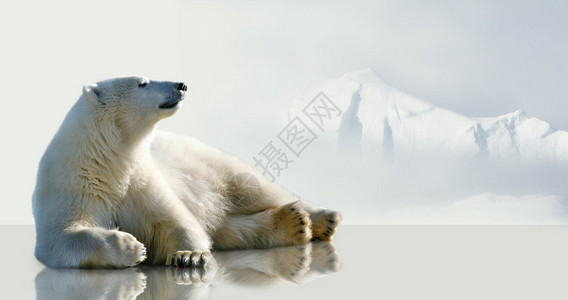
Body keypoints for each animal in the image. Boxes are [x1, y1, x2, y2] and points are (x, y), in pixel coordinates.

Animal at [32, 76, 342, 268]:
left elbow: (176, 220)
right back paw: (293, 222)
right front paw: (131, 247)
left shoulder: (140, 180)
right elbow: (63, 237)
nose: (181, 84)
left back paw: (322, 218)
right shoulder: (72, 186)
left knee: (254, 188)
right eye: (143, 82)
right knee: (231, 229)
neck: (107, 160)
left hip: (211, 163)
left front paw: (189, 256)